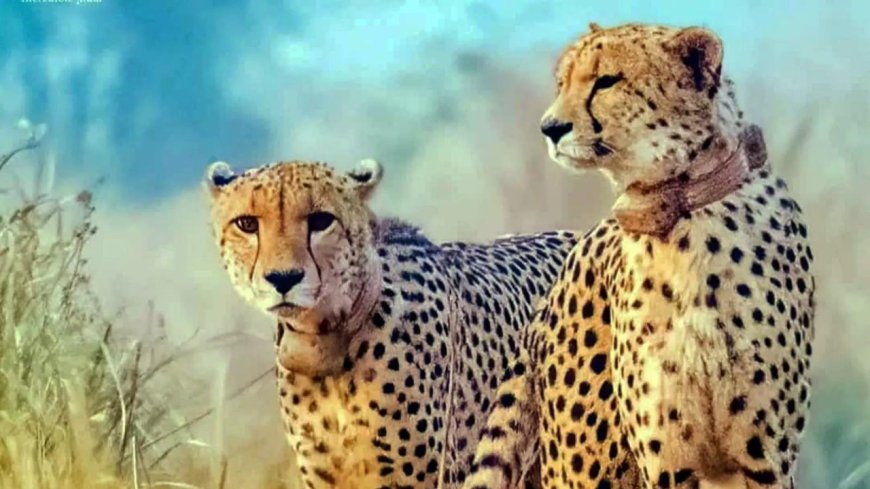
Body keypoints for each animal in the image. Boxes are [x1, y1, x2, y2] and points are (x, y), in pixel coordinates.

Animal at [462, 22, 815, 489]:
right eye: (562, 83)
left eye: (607, 80)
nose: (550, 127)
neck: (681, 212)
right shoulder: (667, 464)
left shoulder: (766, 458)